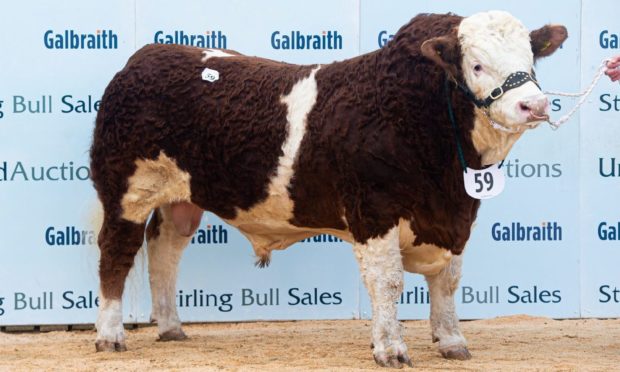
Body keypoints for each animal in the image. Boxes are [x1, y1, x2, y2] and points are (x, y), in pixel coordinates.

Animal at [88, 10, 568, 366]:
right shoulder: (374, 210)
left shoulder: (456, 216)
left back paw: (171, 328)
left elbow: (448, 280)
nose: (534, 105)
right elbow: (388, 282)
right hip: (127, 190)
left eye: (530, 59)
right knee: (117, 252)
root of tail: (148, 55)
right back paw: (111, 335)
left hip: (181, 200)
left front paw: (452, 341)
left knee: (165, 251)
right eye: (477, 64)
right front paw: (390, 348)